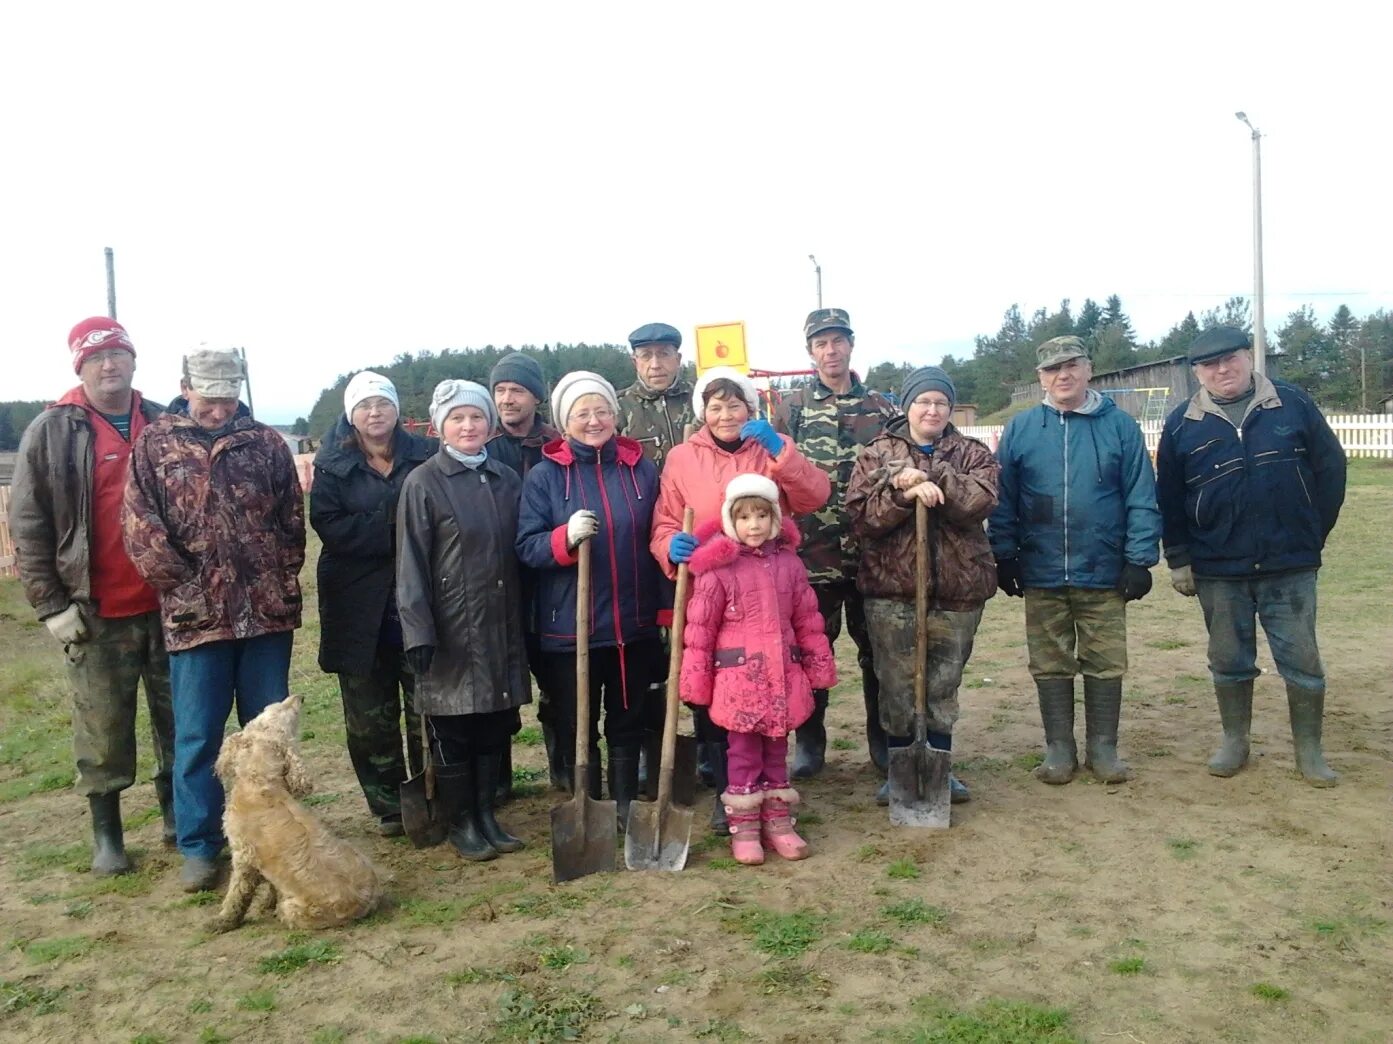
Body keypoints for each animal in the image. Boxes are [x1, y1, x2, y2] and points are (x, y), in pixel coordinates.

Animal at [207, 691, 381, 931]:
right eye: (273, 710)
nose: (299, 696)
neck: (261, 781)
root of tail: (367, 903)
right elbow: (269, 887)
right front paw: (266, 902)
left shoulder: (242, 856)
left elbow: (236, 895)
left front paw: (223, 921)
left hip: (292, 908)